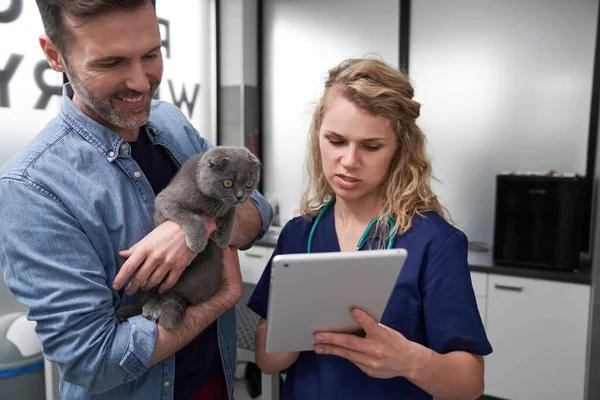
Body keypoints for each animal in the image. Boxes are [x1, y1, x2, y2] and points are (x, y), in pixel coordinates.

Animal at [115, 146, 260, 328]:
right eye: (228, 183)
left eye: (249, 184)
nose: (240, 196)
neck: (211, 201)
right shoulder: (166, 201)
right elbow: (192, 217)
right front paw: (198, 242)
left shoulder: (228, 206)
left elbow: (231, 212)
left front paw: (223, 237)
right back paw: (142, 310)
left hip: (204, 273)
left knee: (173, 294)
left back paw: (155, 307)